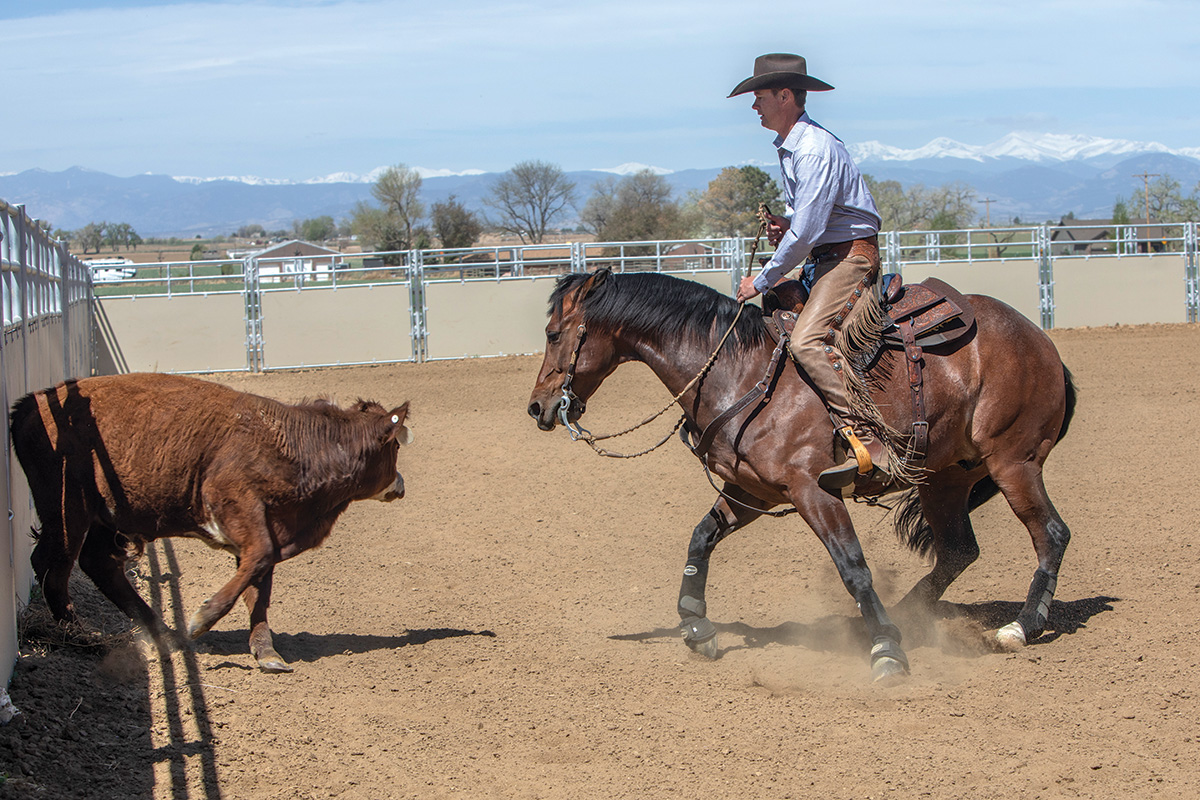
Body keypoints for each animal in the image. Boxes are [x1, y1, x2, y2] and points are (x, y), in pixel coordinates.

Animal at [8, 371, 412, 671]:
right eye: (394, 446)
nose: (400, 485)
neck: (295, 443)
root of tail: (31, 403)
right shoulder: (239, 510)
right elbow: (258, 564)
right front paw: (201, 619)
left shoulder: (265, 529)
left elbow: (258, 586)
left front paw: (266, 652)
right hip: (67, 512)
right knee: (54, 566)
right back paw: (83, 637)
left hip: (103, 520)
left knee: (99, 566)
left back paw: (163, 634)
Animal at [530, 268, 1075, 681]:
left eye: (553, 334)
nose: (537, 407)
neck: (742, 372)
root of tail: (1042, 342)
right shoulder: (752, 491)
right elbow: (701, 537)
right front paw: (695, 625)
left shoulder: (813, 490)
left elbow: (852, 566)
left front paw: (886, 652)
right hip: (947, 477)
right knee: (959, 550)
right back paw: (904, 617)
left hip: (1013, 462)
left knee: (1051, 534)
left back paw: (1020, 627)